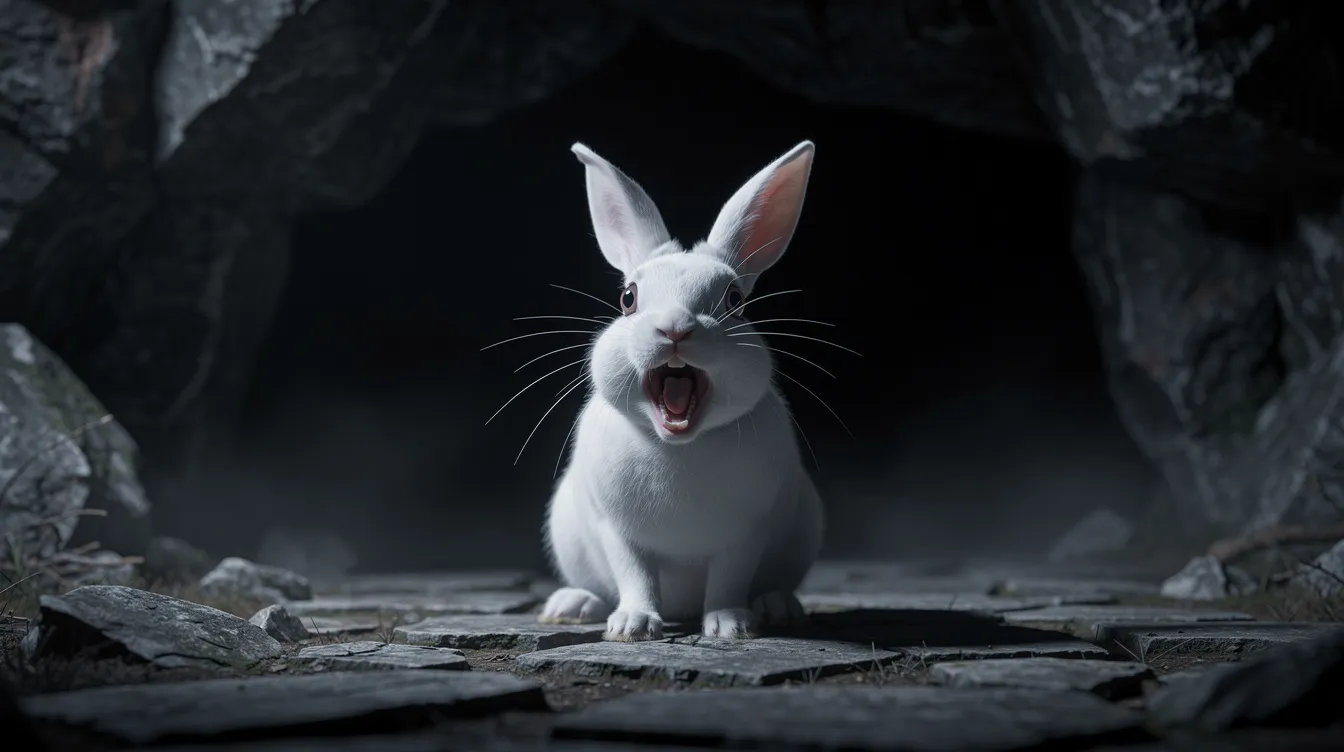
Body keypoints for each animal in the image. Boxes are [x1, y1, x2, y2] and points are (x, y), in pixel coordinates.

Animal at [538, 140, 825, 641]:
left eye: (735, 300)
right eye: (628, 298)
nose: (675, 328)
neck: (678, 445)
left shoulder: (745, 534)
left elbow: (729, 579)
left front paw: (729, 626)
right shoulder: (618, 531)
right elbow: (634, 574)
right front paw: (633, 626)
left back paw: (777, 606)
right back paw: (574, 605)